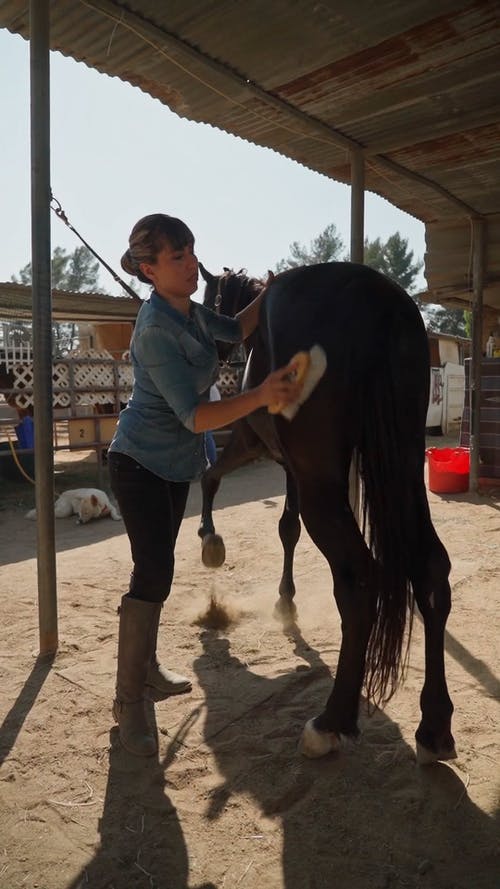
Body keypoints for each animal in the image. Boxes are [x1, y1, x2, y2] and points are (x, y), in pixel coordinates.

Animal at [197, 262, 456, 764]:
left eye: (209, 297)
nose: (211, 353)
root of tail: (373, 293)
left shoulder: (255, 447)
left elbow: (212, 479)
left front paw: (210, 542)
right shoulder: (289, 469)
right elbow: (287, 528)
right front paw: (285, 600)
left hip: (324, 484)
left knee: (358, 581)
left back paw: (331, 722)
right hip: (403, 463)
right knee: (431, 569)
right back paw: (434, 727)